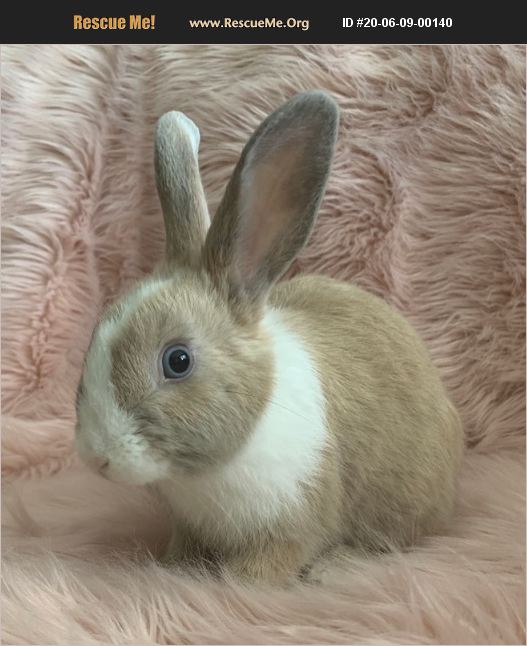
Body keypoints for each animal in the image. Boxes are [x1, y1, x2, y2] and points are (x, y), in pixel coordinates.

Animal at [75, 91, 464, 584]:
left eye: (177, 360)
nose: (95, 457)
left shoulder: (294, 521)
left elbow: (267, 565)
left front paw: (237, 579)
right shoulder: (190, 527)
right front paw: (173, 567)